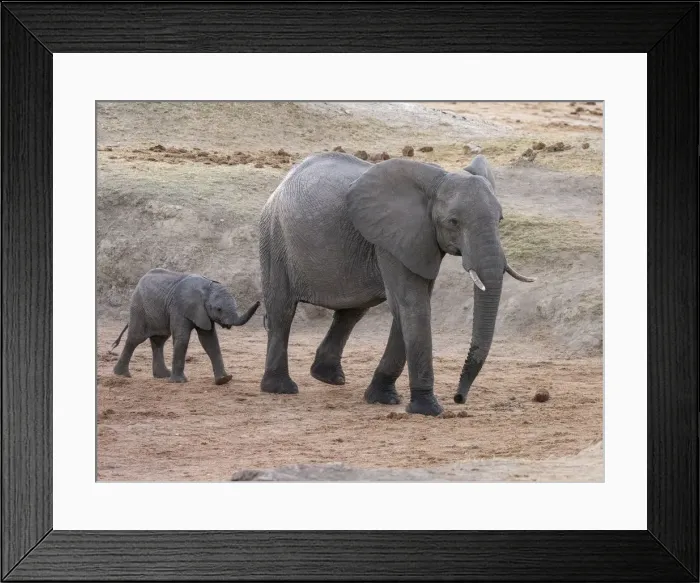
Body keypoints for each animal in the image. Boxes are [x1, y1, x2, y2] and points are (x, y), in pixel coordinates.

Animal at [111, 268, 260, 385]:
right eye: (218, 309)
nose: (259, 301)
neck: (207, 287)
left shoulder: (202, 312)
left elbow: (210, 341)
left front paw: (224, 380)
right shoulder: (180, 308)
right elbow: (182, 338)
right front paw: (179, 382)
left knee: (159, 340)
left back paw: (162, 375)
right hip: (139, 308)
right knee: (135, 339)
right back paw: (121, 375)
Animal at [258, 152, 535, 416]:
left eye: (500, 219)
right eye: (453, 222)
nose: (459, 398)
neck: (436, 182)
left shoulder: (418, 240)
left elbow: (409, 306)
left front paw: (383, 399)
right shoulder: (392, 237)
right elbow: (412, 305)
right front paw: (428, 409)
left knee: (352, 312)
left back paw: (329, 378)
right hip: (274, 237)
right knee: (282, 310)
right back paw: (281, 388)